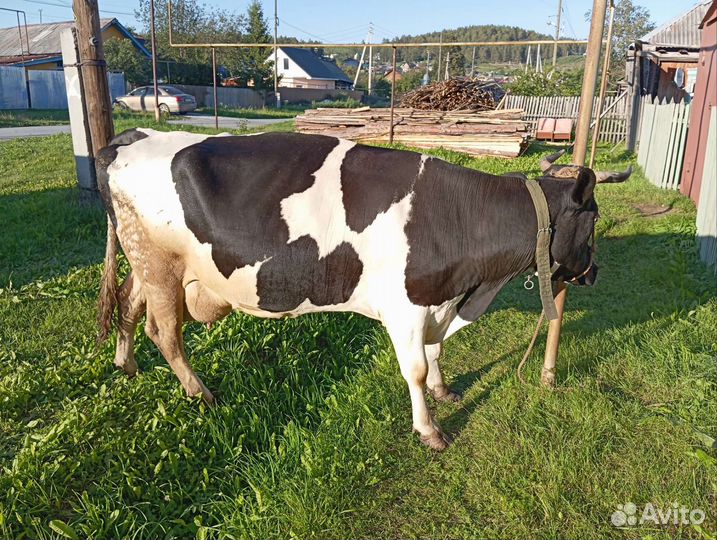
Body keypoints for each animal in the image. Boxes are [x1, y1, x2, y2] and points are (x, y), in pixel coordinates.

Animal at [95, 129, 630, 450]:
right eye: (594, 217)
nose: (594, 273)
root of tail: (121, 140)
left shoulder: (435, 297)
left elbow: (436, 352)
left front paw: (444, 390)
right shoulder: (405, 304)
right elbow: (415, 368)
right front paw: (429, 430)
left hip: (147, 263)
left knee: (127, 305)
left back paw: (126, 364)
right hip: (158, 263)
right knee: (166, 333)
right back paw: (201, 392)